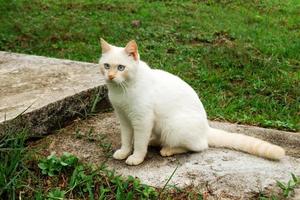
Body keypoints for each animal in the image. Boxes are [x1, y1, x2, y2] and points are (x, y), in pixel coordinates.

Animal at [99, 38, 284, 166]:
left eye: (121, 67)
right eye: (107, 66)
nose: (111, 76)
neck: (122, 90)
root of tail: (206, 128)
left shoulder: (142, 120)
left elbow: (138, 143)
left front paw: (136, 158)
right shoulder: (124, 119)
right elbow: (126, 138)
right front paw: (124, 152)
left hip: (172, 126)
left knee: (198, 146)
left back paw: (168, 149)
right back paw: (156, 142)